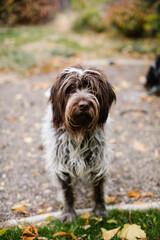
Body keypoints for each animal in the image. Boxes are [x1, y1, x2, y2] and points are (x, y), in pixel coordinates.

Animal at [42, 65, 115, 221]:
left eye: (92, 88)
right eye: (70, 88)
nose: (83, 105)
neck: (79, 132)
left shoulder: (98, 162)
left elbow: (98, 189)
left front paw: (100, 210)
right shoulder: (61, 166)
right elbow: (67, 192)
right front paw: (68, 212)